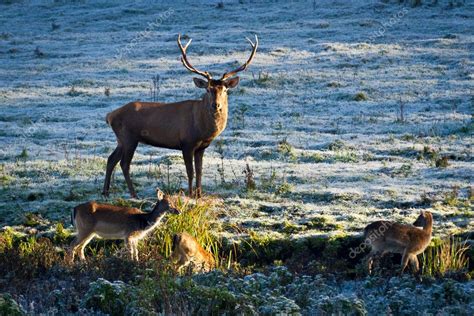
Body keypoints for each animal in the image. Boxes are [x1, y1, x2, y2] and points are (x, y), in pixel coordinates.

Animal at [103, 34, 260, 198]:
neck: (203, 129)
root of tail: (110, 116)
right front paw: (190, 195)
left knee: (111, 159)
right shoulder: (186, 143)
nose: (215, 105)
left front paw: (199, 195)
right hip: (129, 137)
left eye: (224, 90)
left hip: (121, 140)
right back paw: (134, 194)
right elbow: (190, 172)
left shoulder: (201, 147)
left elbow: (199, 172)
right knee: (124, 164)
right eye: (208, 89)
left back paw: (105, 192)